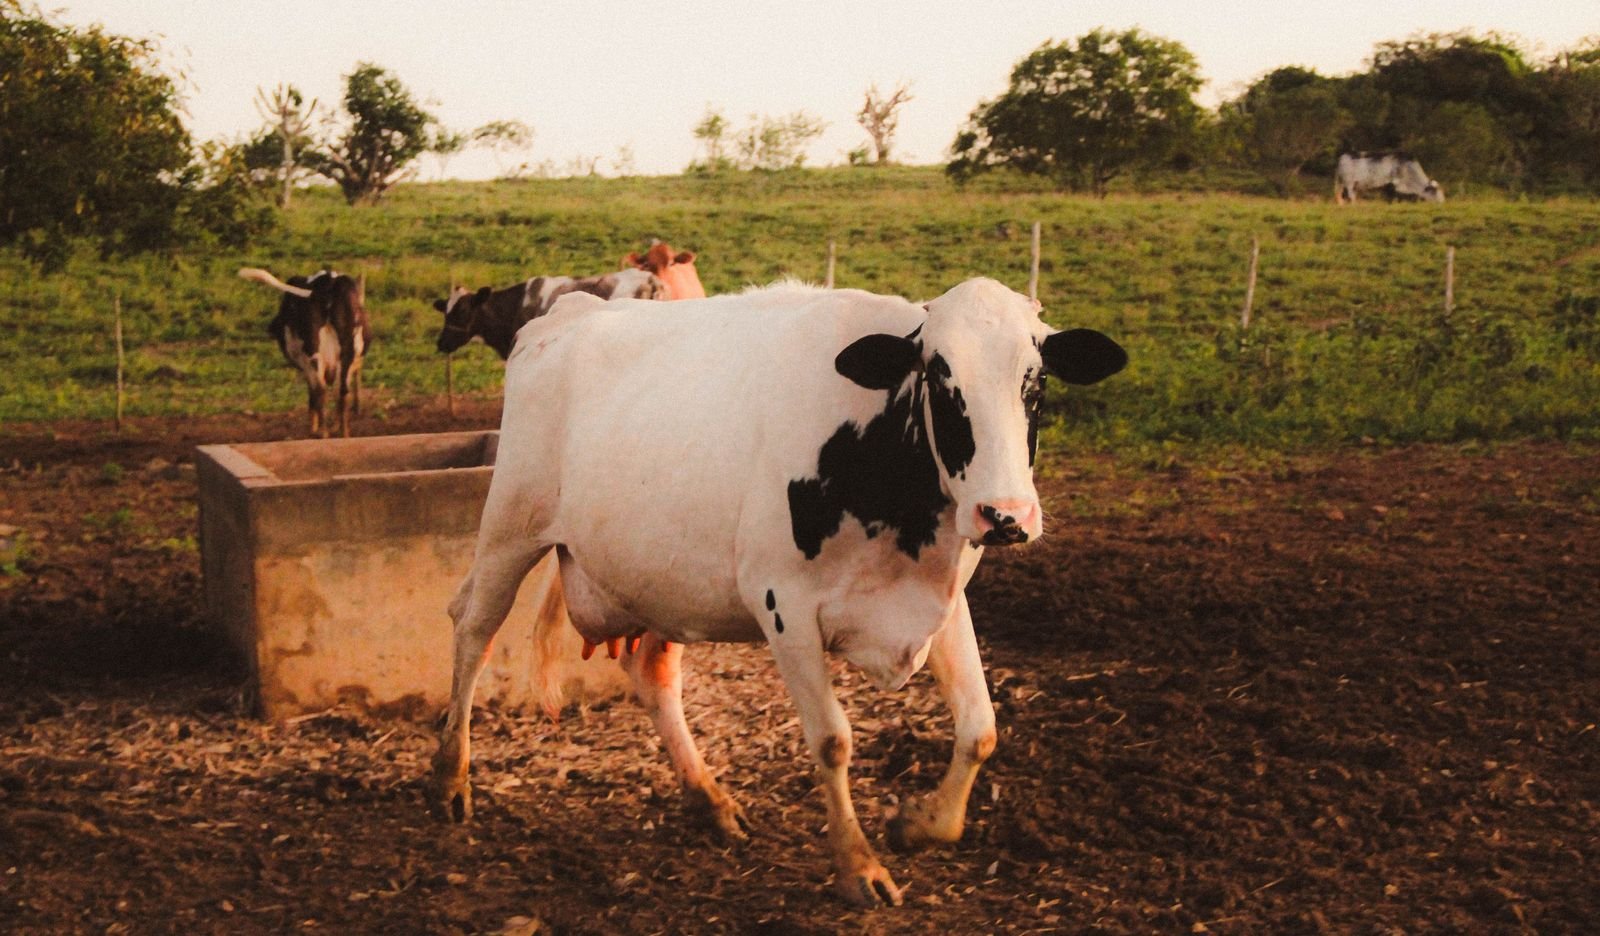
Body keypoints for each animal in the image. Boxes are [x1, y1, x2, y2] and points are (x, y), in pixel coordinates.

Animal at [238, 267, 371, 438]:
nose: (271, 327)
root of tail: (328, 283)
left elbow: (312, 394)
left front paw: (314, 428)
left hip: (314, 357)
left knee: (321, 391)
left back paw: (322, 433)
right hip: (345, 355)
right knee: (341, 393)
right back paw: (342, 434)